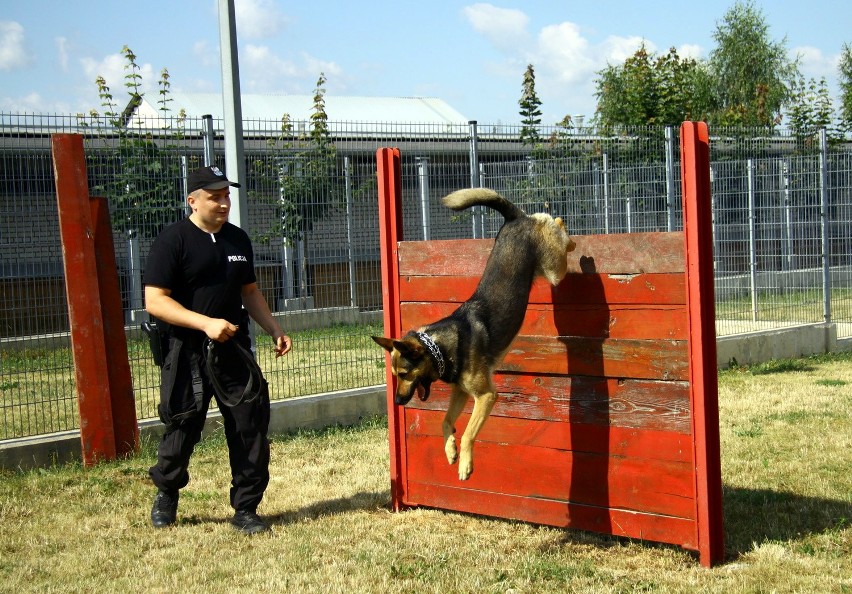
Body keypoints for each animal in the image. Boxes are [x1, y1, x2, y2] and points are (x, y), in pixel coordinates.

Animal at [372, 187, 576, 478]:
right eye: (394, 375)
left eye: (403, 374)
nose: (398, 402)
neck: (441, 348)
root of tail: (513, 219)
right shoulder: (461, 392)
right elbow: (446, 422)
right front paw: (450, 451)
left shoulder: (486, 397)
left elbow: (468, 432)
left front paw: (466, 463)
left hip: (554, 270)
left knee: (555, 224)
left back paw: (569, 237)